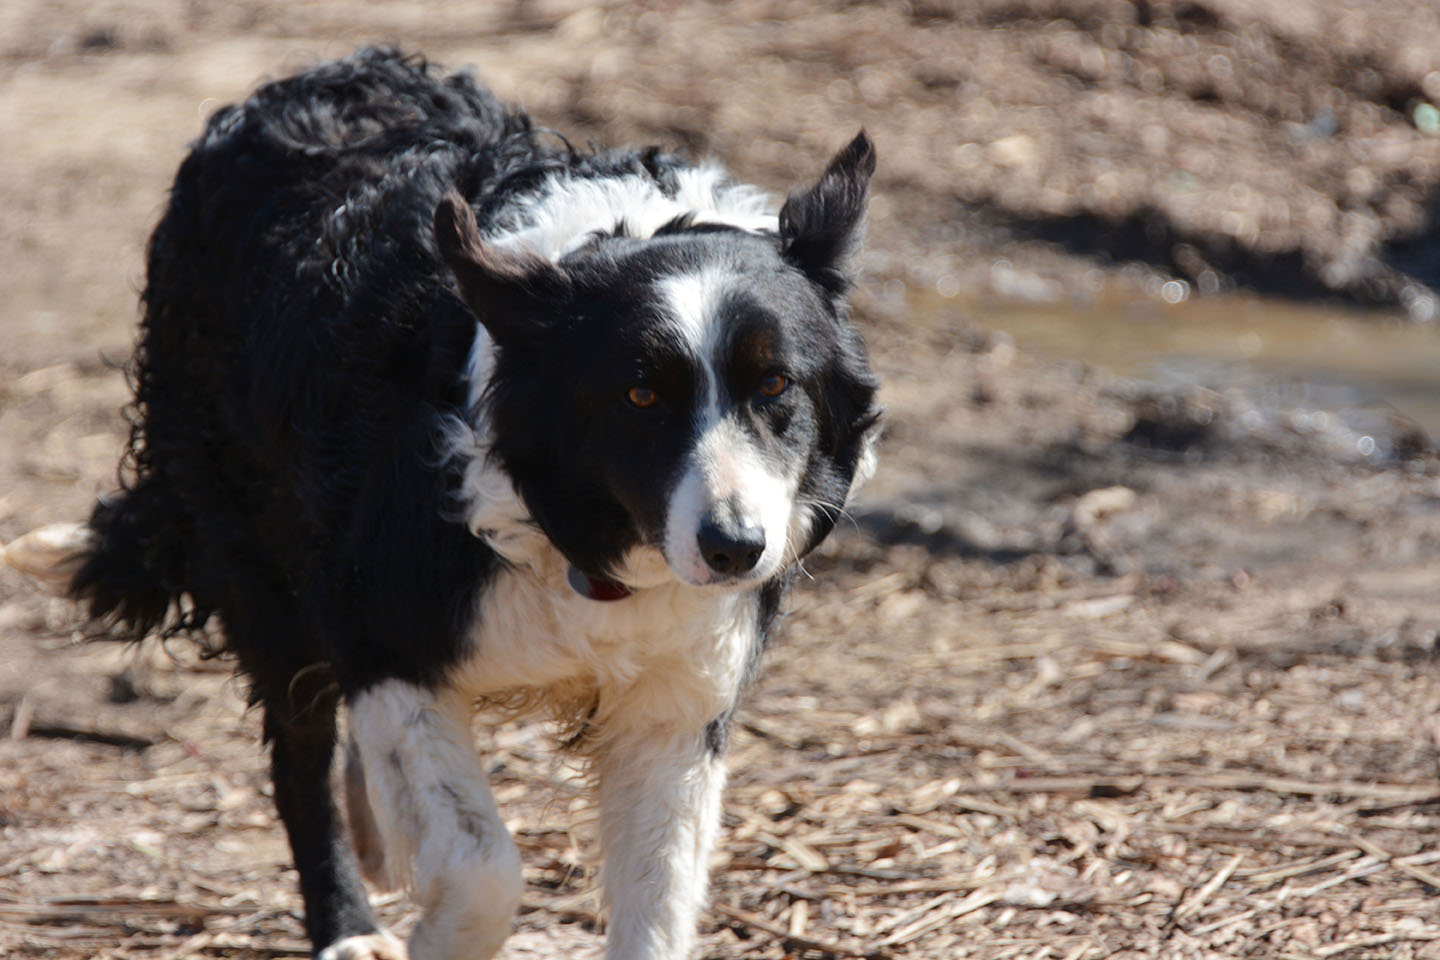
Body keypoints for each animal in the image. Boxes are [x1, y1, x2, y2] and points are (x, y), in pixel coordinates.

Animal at [56, 46, 875, 960]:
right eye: (639, 396)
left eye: (774, 385)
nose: (735, 548)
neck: (576, 539)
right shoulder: (383, 633)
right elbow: (484, 866)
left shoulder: (676, 701)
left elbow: (658, 898)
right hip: (262, 564)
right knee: (299, 752)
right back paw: (349, 922)